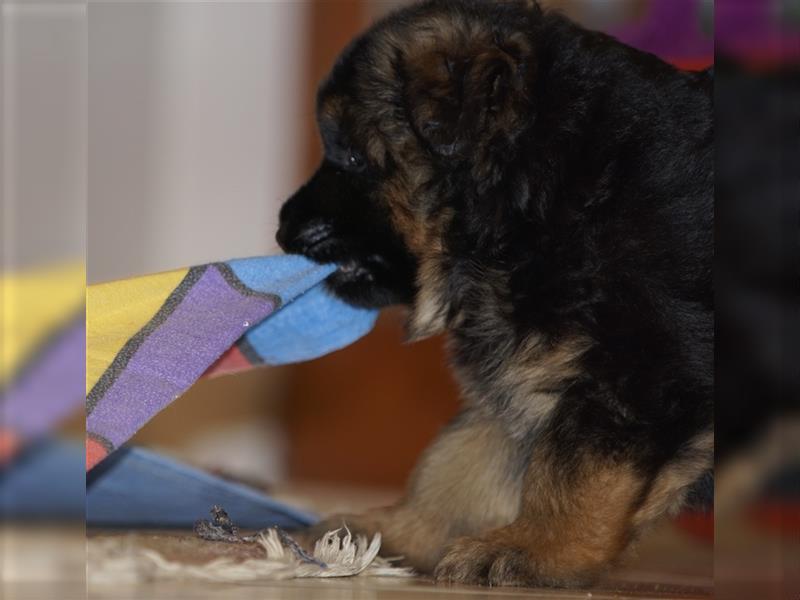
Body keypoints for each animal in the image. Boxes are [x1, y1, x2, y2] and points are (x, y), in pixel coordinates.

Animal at [276, 0, 712, 592]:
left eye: (351, 156)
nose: (283, 230)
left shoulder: (639, 363)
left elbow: (575, 468)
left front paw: (537, 549)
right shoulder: (524, 364)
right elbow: (464, 456)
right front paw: (396, 532)